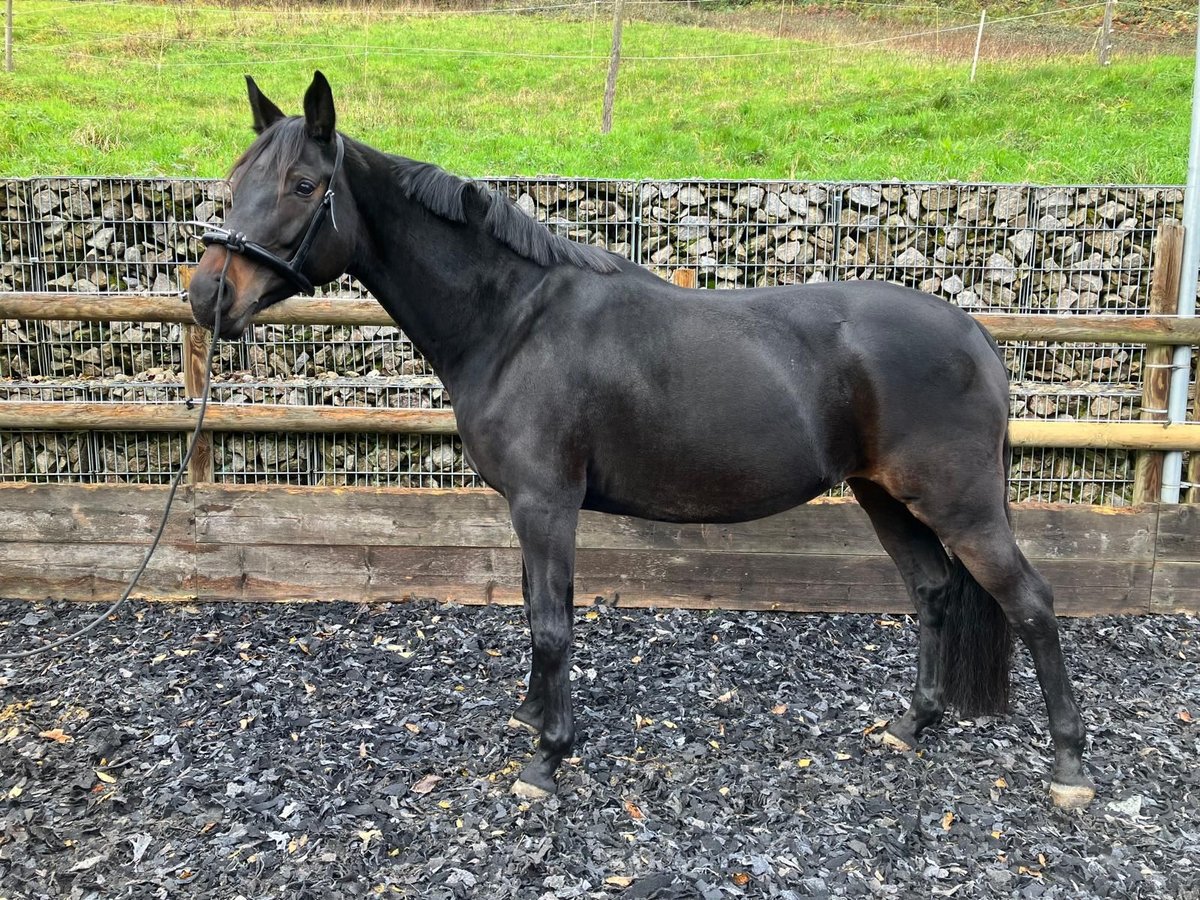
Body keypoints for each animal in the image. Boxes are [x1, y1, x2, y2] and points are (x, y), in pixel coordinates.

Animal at [187, 72, 1099, 811]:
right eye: (235, 180)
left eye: (304, 184)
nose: (206, 296)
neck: (514, 320)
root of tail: (977, 335)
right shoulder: (525, 507)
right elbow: (535, 611)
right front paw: (534, 715)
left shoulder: (547, 505)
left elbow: (552, 624)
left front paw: (547, 759)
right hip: (884, 497)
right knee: (934, 592)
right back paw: (914, 725)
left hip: (960, 504)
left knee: (1032, 603)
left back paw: (1068, 767)